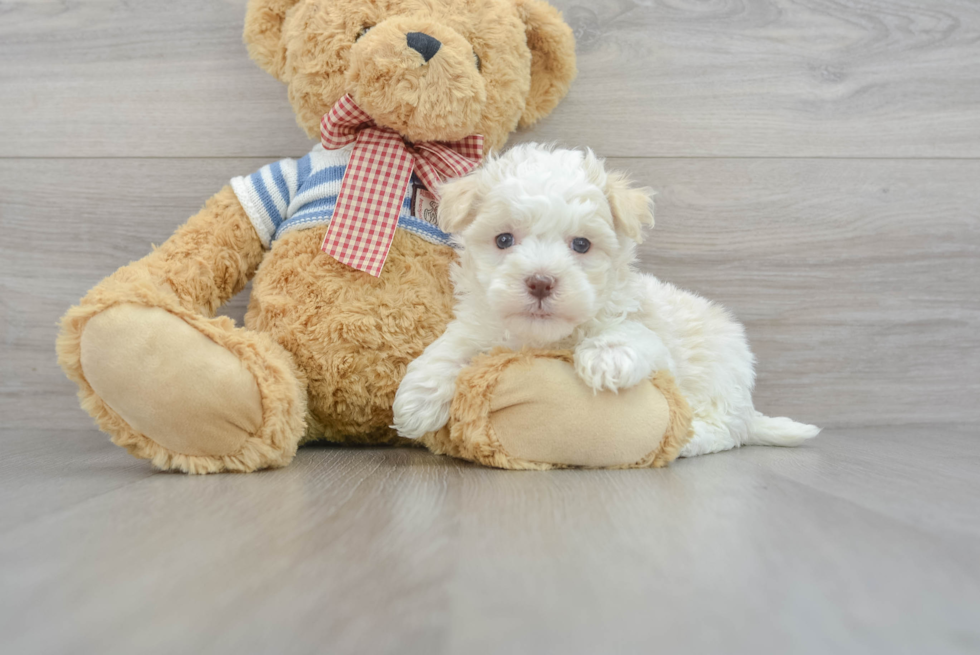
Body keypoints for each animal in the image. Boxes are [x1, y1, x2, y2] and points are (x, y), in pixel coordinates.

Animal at [392, 146, 820, 458]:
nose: (540, 282)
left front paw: (605, 357)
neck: (545, 338)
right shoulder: (480, 325)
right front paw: (416, 400)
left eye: (582, 244)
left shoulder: (653, 339)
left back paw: (689, 439)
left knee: (724, 429)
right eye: (503, 240)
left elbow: (629, 333)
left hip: (720, 379)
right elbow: (451, 347)